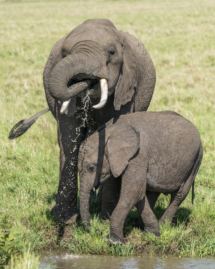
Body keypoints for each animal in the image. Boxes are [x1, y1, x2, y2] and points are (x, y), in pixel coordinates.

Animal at [9, 18, 156, 222]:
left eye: (112, 52)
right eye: (64, 54)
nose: (85, 81)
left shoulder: (127, 89)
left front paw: (106, 216)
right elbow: (69, 138)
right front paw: (65, 218)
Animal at [78, 110, 202, 243]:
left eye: (91, 168)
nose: (97, 231)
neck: (112, 130)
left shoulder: (139, 154)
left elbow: (133, 192)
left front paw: (114, 241)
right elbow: (129, 192)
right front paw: (152, 234)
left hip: (196, 160)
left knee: (179, 195)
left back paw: (163, 226)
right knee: (152, 191)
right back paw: (141, 227)